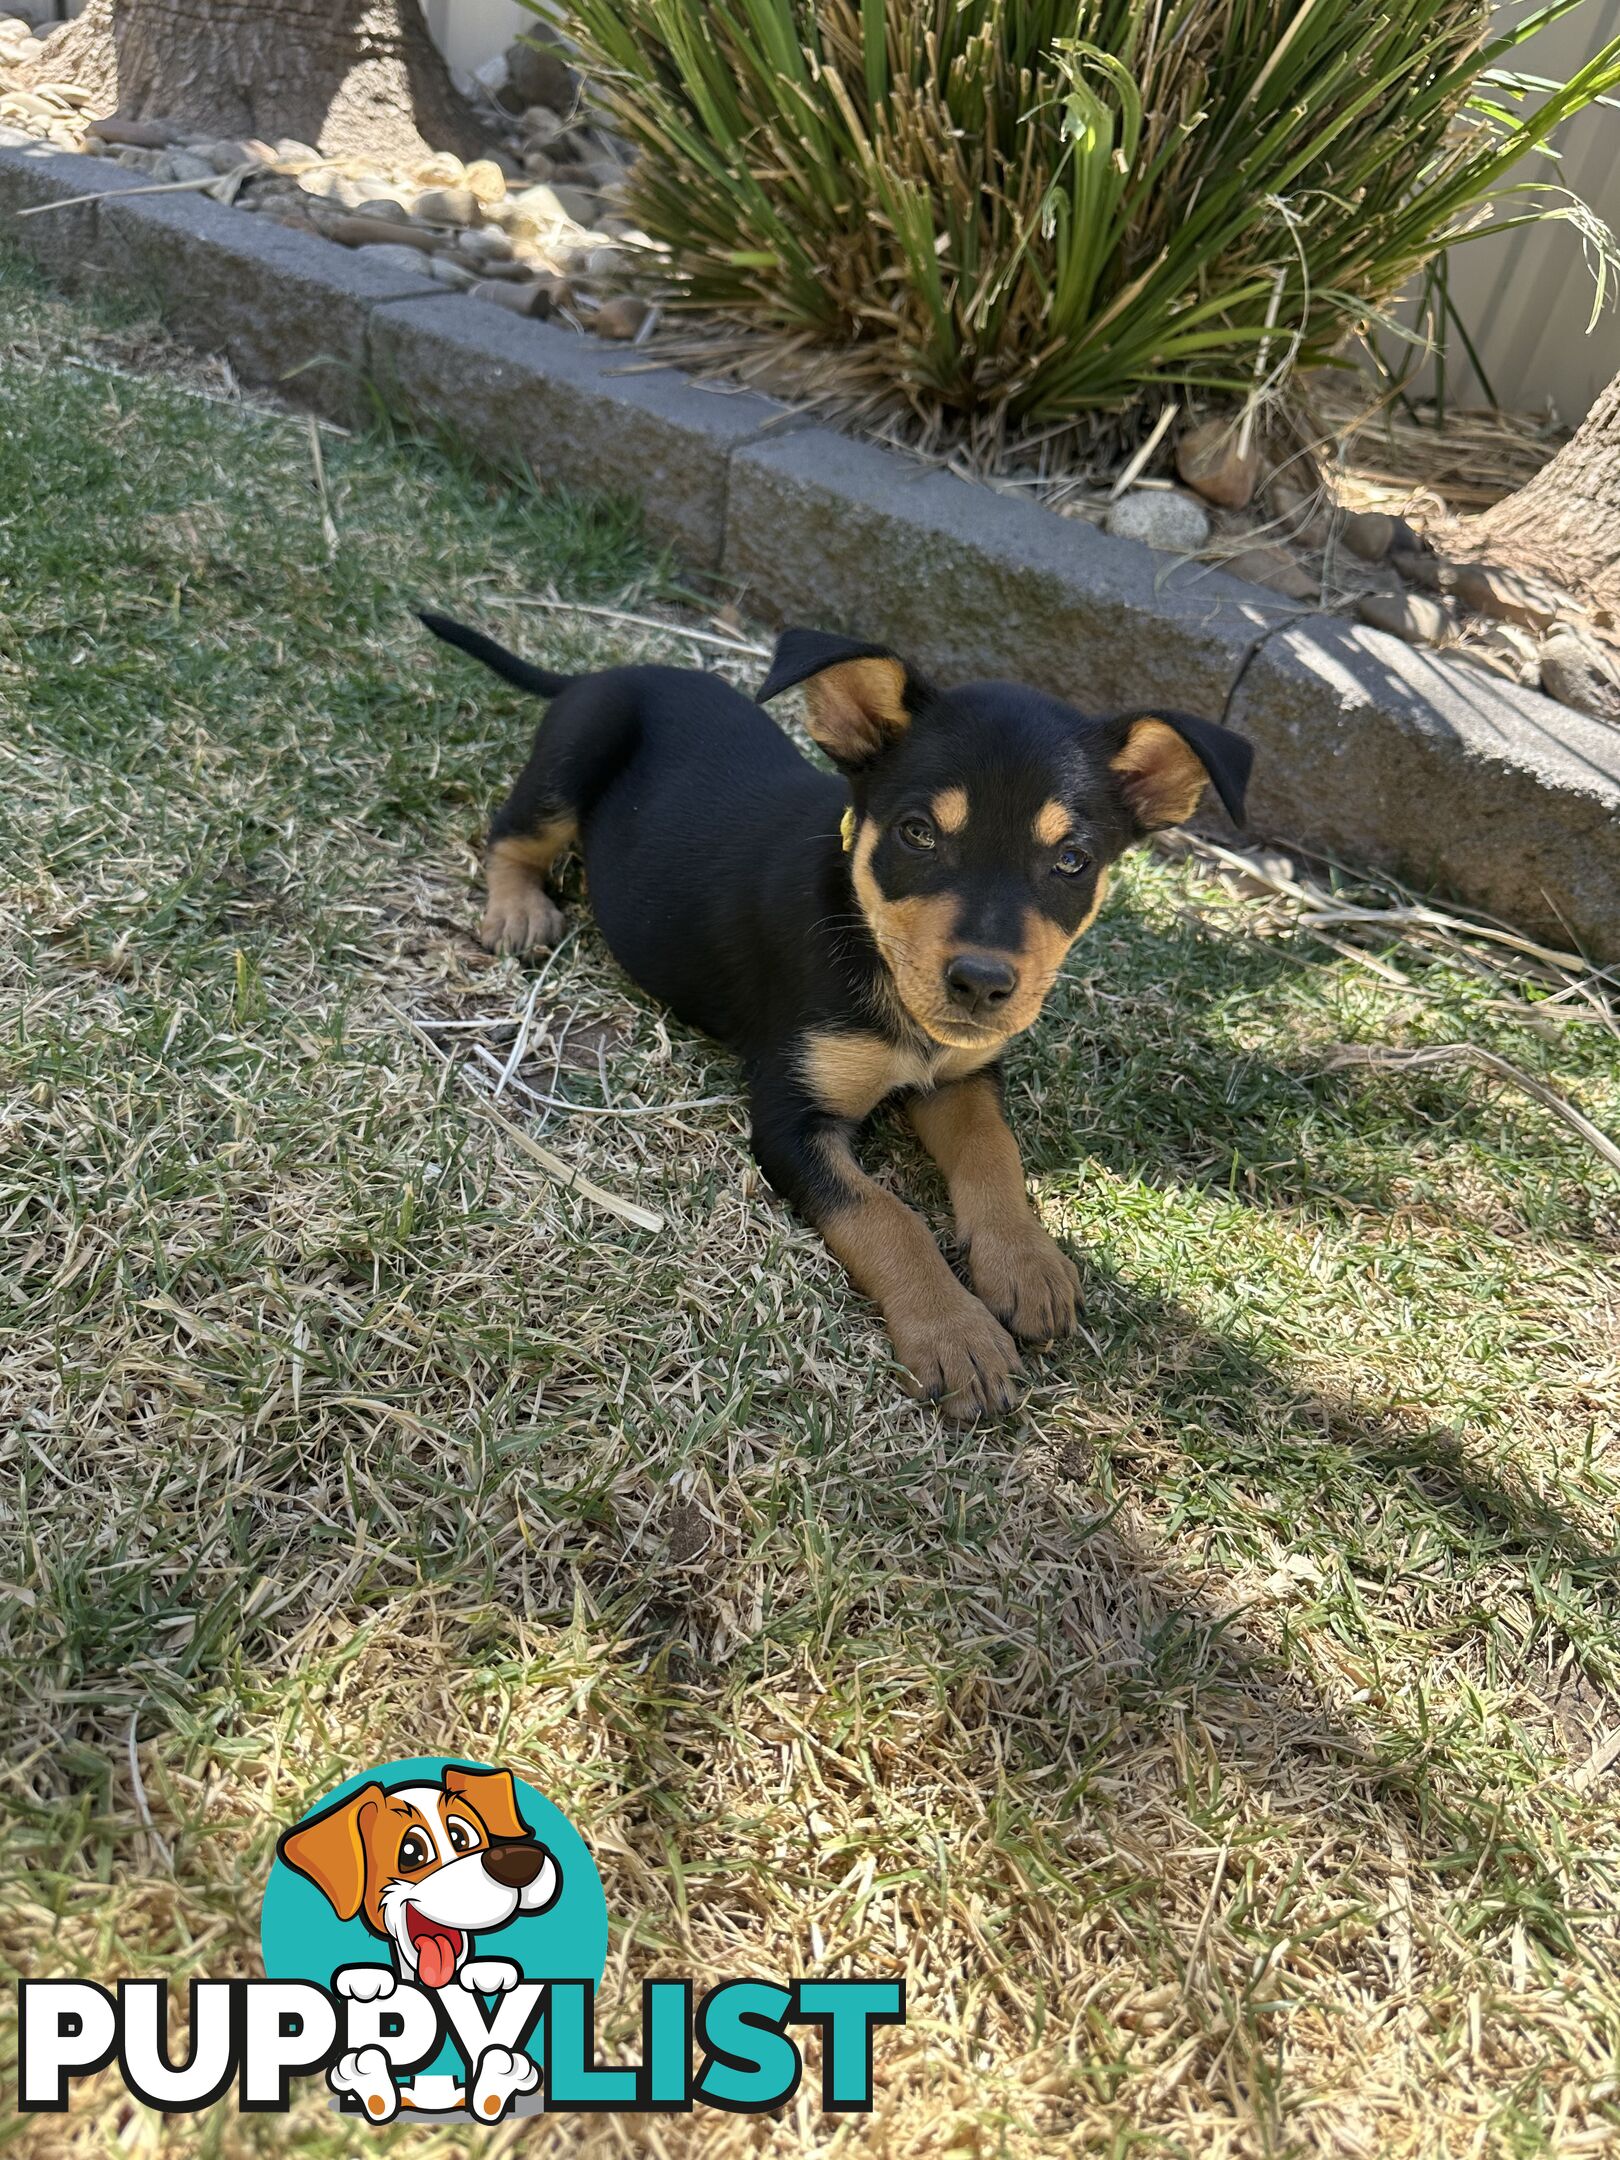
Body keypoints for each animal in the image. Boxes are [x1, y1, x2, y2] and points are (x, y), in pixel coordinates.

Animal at [421, 609, 1252, 1416]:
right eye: (918, 833)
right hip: (577, 750)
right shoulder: (790, 1119)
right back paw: (518, 911)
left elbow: (994, 1151)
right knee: (511, 833)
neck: (871, 944)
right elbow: (884, 1215)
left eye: (1072, 861)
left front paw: (1025, 1262)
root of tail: (611, 670)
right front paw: (955, 1335)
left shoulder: (961, 1076)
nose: (982, 984)